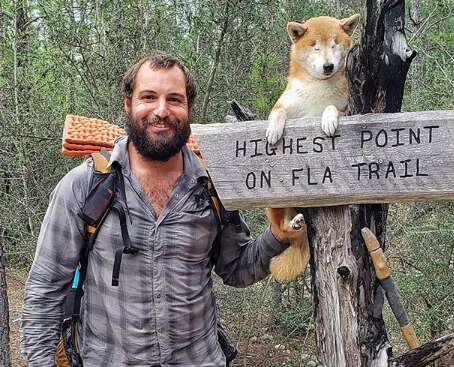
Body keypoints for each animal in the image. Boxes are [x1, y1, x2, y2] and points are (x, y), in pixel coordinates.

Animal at [266, 12, 358, 280]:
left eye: (335, 44)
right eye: (315, 46)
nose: (328, 66)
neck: (318, 89)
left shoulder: (346, 107)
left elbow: (332, 108)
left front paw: (327, 119)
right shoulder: (285, 104)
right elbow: (277, 112)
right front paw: (273, 130)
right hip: (276, 204)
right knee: (280, 230)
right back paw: (293, 224)